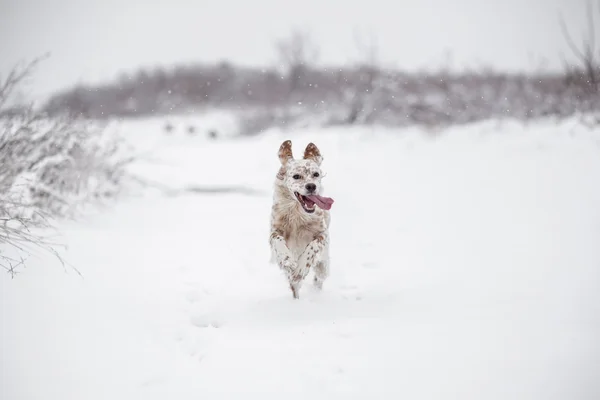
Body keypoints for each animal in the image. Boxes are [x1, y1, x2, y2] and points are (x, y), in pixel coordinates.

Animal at [270, 139, 336, 298]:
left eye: (316, 174)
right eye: (296, 176)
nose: (311, 186)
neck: (297, 213)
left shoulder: (322, 234)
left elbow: (312, 247)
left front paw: (300, 269)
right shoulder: (275, 230)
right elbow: (278, 241)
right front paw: (287, 260)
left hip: (323, 265)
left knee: (319, 277)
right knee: (294, 285)